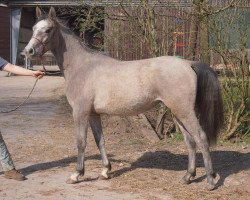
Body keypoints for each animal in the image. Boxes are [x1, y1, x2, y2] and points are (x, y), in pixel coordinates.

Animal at [23, 7, 223, 190]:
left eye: (48, 29)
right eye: (33, 28)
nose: (28, 51)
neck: (82, 67)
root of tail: (188, 63)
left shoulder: (80, 113)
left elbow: (81, 142)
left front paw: (77, 174)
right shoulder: (93, 114)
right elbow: (100, 140)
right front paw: (105, 171)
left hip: (184, 111)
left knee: (201, 138)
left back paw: (210, 181)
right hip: (177, 113)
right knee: (190, 141)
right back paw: (188, 177)